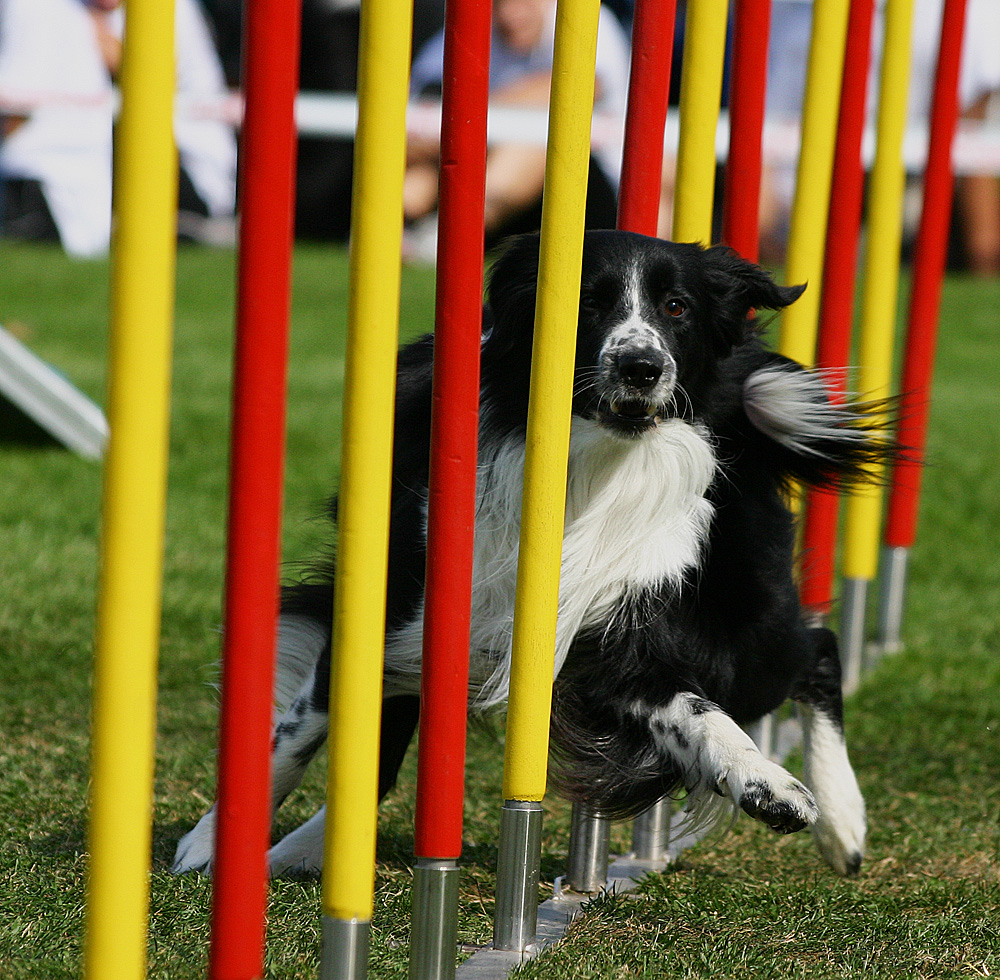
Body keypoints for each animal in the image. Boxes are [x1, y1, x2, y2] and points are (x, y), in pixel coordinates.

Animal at [174, 230, 892, 880]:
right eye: (587, 303)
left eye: (677, 307)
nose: (641, 367)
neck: (590, 465)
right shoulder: (398, 614)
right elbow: (297, 735)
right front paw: (213, 844)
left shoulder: (618, 638)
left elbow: (700, 713)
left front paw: (772, 787)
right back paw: (303, 851)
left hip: (741, 623)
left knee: (818, 649)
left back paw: (844, 825)